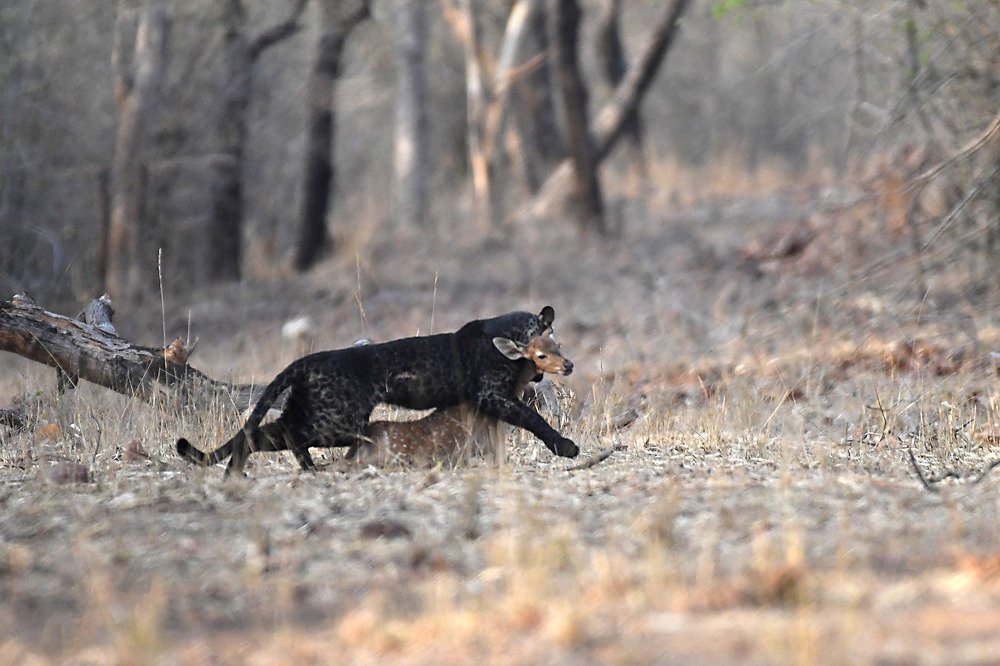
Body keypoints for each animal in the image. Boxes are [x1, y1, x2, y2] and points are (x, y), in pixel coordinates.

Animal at [176, 306, 578, 476]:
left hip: (321, 414)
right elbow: (532, 418)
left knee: (263, 432)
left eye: (558, 345)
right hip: (336, 422)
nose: (567, 364)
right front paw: (567, 447)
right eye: (542, 350)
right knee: (283, 433)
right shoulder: (492, 395)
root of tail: (308, 360)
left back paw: (242, 472)